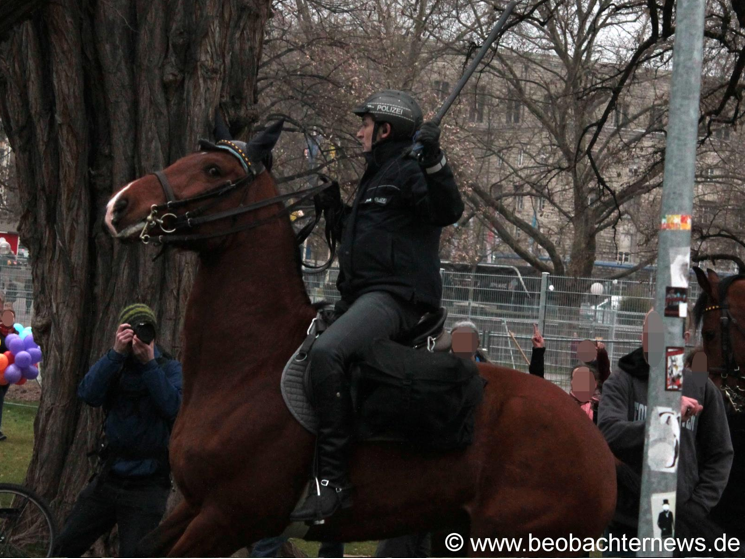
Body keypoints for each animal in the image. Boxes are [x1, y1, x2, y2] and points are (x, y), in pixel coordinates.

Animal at [104, 123, 616, 559]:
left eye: (213, 169)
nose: (119, 206)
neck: (250, 365)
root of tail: (596, 445)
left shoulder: (228, 518)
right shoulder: (191, 508)